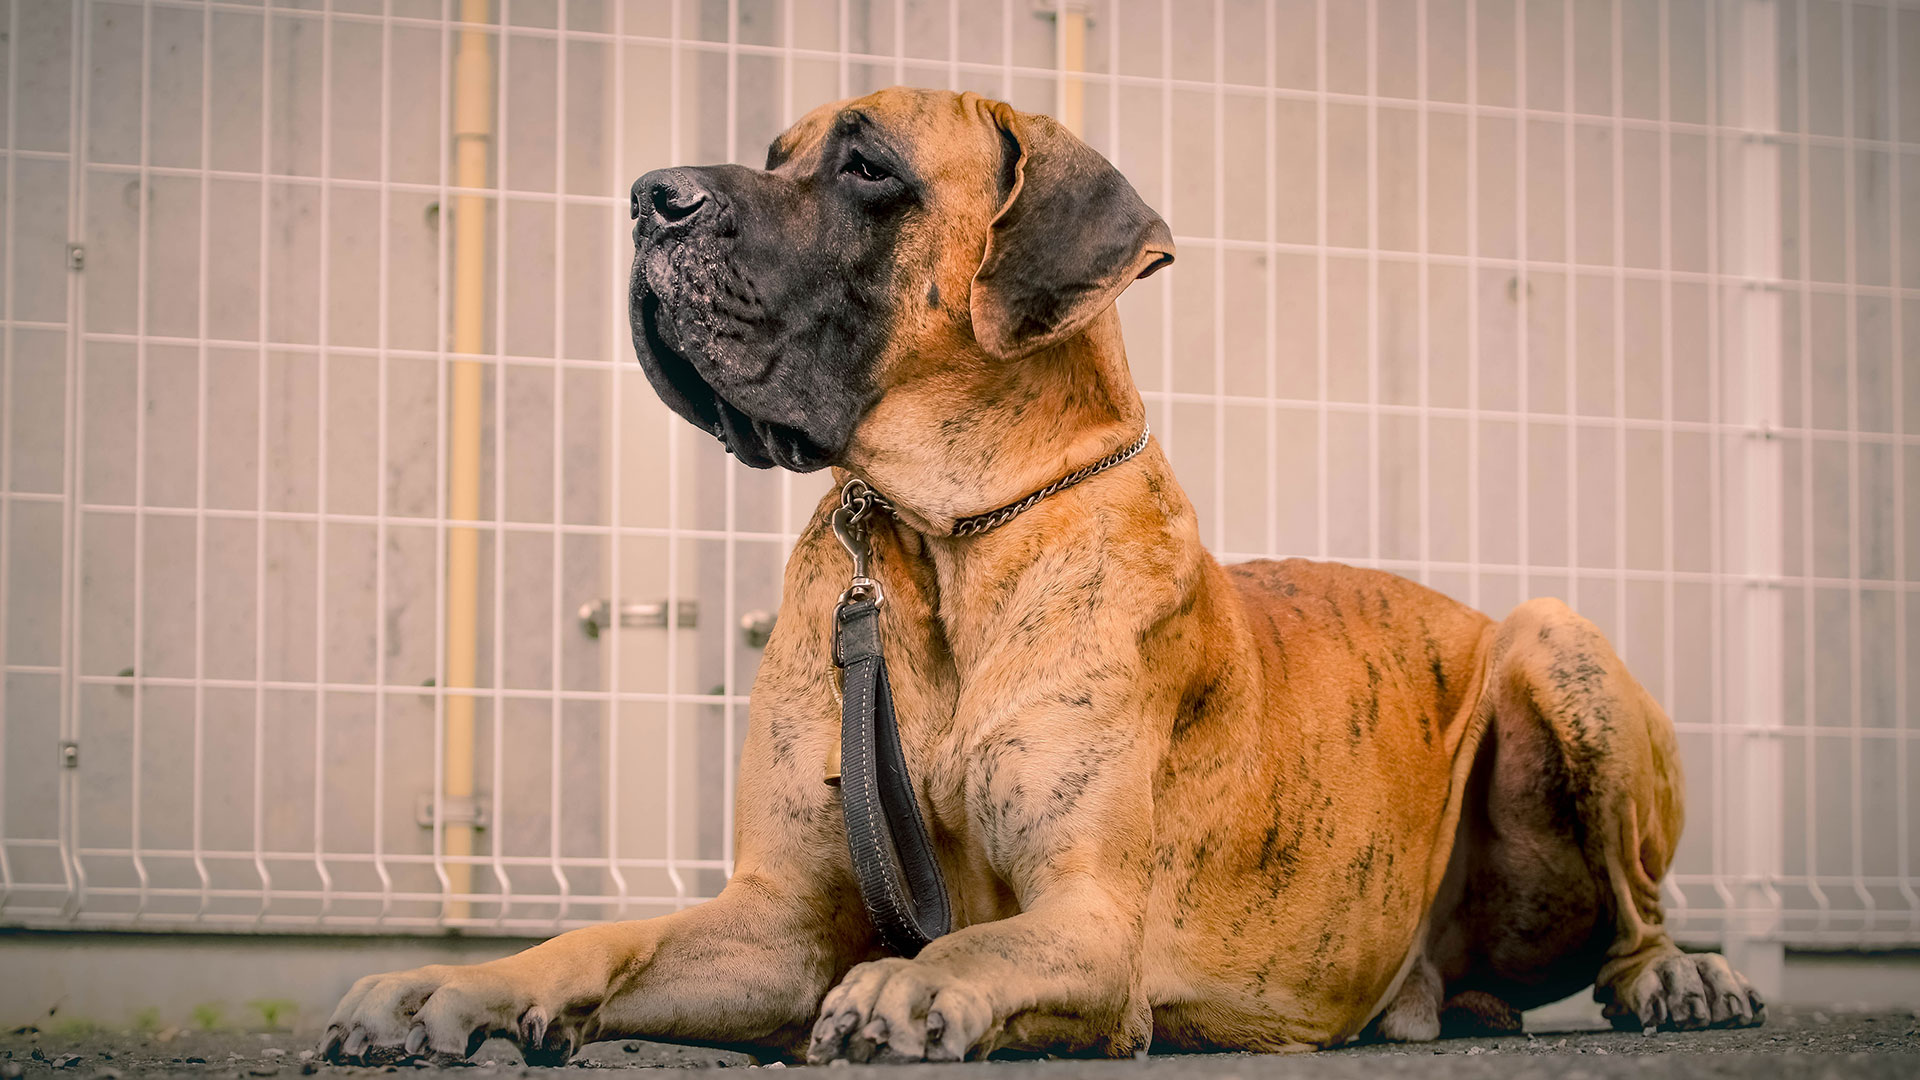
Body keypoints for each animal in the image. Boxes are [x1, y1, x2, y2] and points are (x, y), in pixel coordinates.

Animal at [322, 88, 1758, 1060]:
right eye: (776, 155)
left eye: (867, 166)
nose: (648, 197)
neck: (939, 535)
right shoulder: (776, 923)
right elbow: (611, 938)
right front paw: (456, 987)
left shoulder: (1091, 917)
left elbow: (983, 935)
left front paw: (911, 984)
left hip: (1554, 638)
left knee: (1635, 903)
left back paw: (1674, 977)